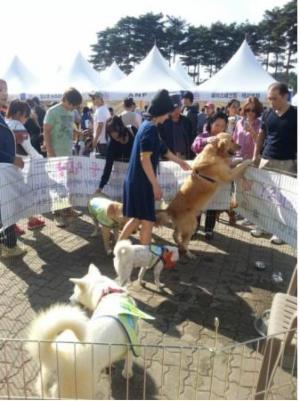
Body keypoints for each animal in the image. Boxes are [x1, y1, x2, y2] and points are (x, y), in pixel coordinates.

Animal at [25, 264, 154, 398]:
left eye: (75, 291)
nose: (69, 299)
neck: (107, 293)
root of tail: (56, 354)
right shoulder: (132, 341)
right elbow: (129, 360)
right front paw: (127, 372)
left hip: (46, 379)